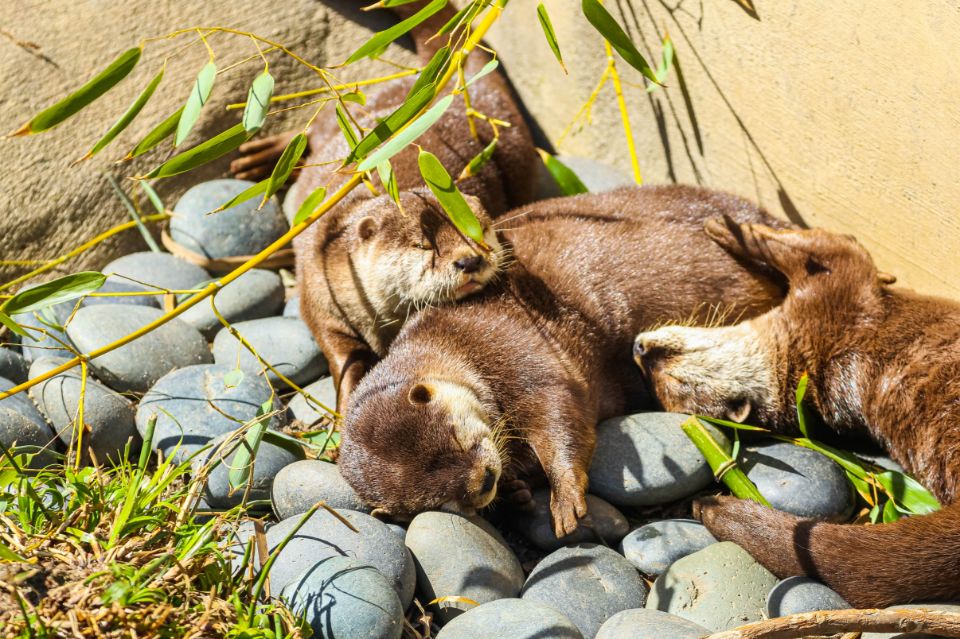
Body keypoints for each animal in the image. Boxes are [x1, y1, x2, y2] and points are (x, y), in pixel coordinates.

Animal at [232, 2, 538, 414]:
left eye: (480, 231)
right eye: (425, 246)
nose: (470, 260)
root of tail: (456, 84)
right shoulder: (321, 296)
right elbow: (343, 358)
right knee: (318, 125)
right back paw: (261, 158)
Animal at [338, 185, 788, 535]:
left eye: (457, 437)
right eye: (441, 500)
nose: (484, 479)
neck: (457, 346)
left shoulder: (521, 352)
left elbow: (560, 412)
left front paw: (566, 497)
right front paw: (516, 493)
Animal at [633, 218, 960, 608]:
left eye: (666, 377)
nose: (638, 349)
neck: (803, 351)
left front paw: (732, 229)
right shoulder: (835, 297)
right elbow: (834, 250)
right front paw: (736, 228)